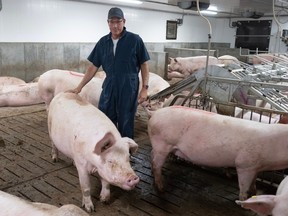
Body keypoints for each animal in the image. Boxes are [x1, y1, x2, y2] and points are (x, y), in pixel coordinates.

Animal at [147, 106, 288, 201]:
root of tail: (154, 112)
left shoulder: (257, 167)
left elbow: (253, 182)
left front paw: (254, 192)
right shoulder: (245, 165)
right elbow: (244, 186)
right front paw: (243, 202)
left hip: (159, 146)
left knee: (152, 156)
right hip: (163, 144)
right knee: (157, 164)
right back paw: (161, 188)